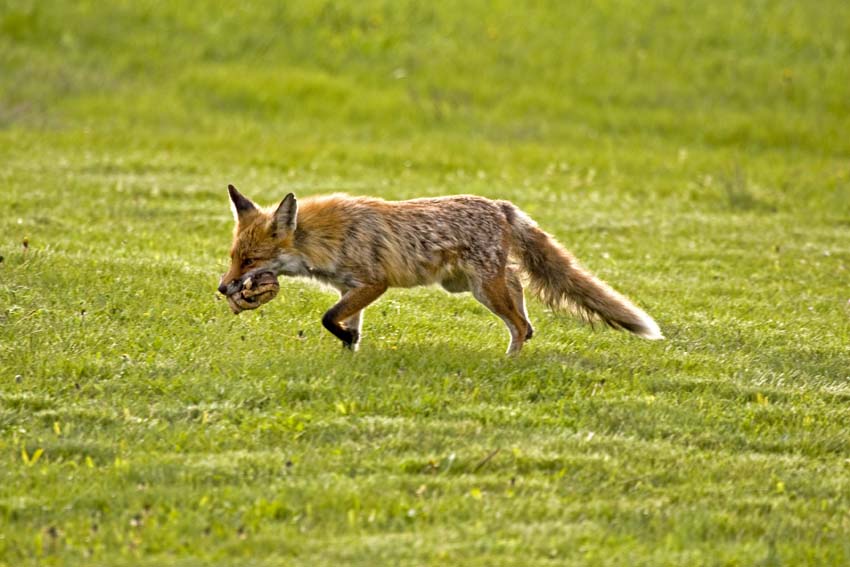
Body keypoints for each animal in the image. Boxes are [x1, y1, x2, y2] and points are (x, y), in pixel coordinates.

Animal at [219, 186, 664, 356]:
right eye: (233, 256)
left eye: (251, 260)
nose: (224, 289)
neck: (325, 238)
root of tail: (499, 205)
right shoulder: (350, 289)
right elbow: (344, 323)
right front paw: (350, 349)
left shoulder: (374, 283)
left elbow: (328, 318)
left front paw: (346, 340)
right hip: (467, 284)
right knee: (518, 284)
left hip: (483, 289)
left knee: (517, 323)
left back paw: (511, 359)